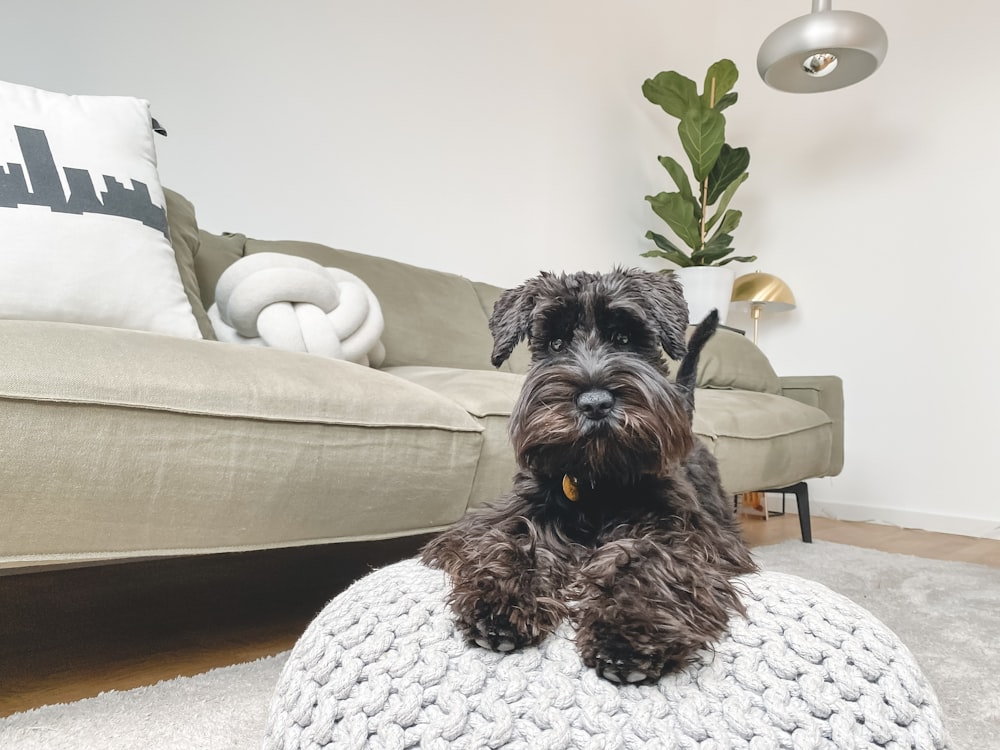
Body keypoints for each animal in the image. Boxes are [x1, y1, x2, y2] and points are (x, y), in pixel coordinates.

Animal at [418, 270, 752, 688]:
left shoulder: (685, 534)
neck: (599, 478)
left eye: (624, 338)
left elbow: (649, 559)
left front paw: (628, 631)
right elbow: (517, 540)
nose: (594, 403)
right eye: (556, 343)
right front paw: (499, 602)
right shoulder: (506, 517)